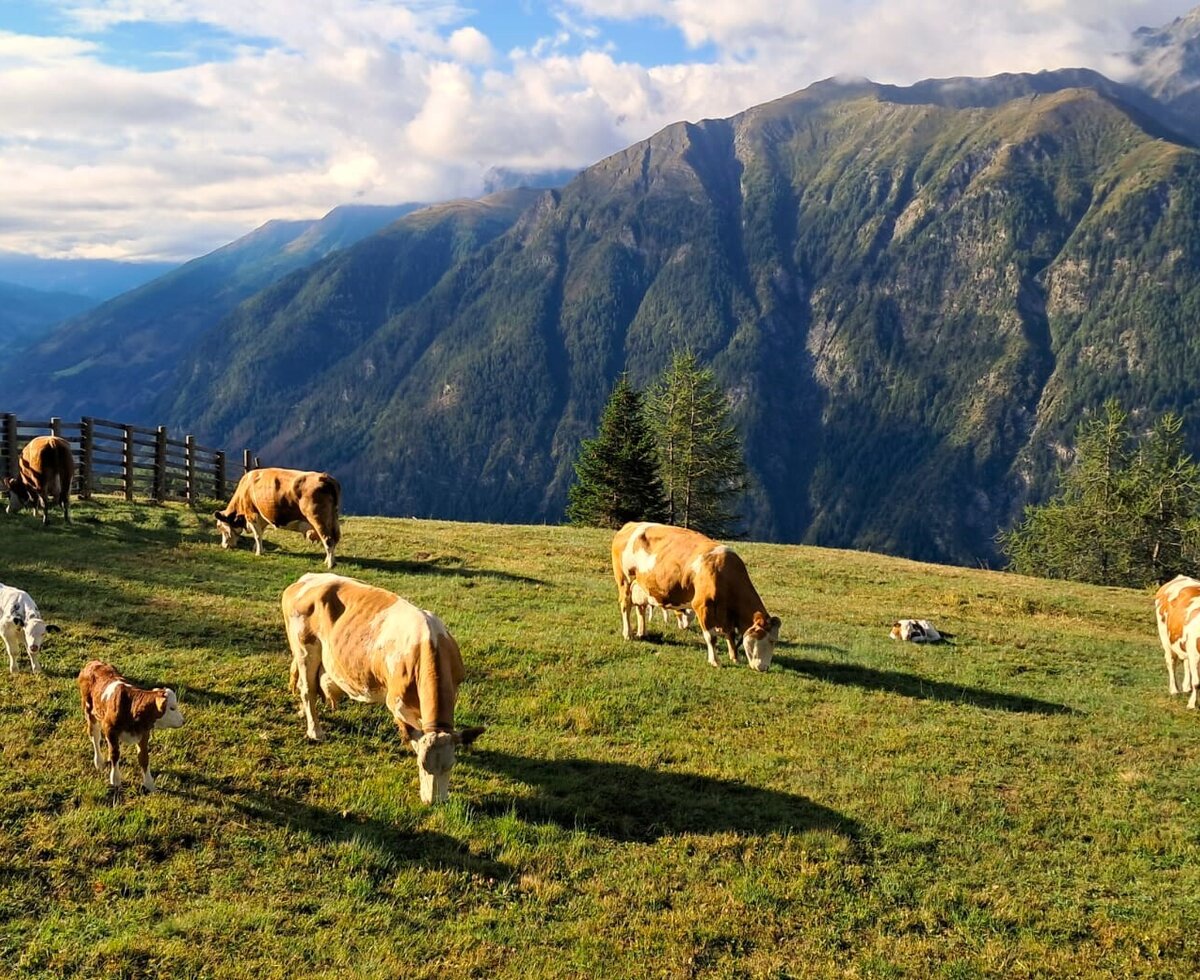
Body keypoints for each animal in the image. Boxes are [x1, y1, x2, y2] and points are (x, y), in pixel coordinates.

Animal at [77, 660, 185, 791]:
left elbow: (144, 758)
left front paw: (149, 784)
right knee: (95, 737)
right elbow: (115, 754)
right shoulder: (110, 730)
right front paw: (115, 779)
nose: (183, 721)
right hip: (89, 711)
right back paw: (99, 762)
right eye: (172, 708)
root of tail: (93, 662)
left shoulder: (144, 734)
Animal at [282, 572, 484, 803]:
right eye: (422, 766)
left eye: (450, 766)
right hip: (305, 650)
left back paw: (302, 713)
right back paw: (315, 730)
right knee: (308, 689)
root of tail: (307, 579)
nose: (434, 802)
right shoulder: (397, 703)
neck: (429, 644)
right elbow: (413, 733)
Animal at [612, 521, 781, 672]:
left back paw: (642, 632)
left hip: (641, 587)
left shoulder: (726, 615)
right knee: (625, 606)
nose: (764, 668)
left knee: (641, 608)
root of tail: (630, 525)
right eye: (771, 640)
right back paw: (628, 634)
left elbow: (730, 634)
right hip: (624, 580)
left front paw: (735, 657)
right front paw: (715, 661)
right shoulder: (702, 606)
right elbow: (711, 637)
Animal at [1154, 574, 1200, 709]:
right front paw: (1192, 704)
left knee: (1185, 662)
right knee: (1171, 662)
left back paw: (1186, 687)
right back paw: (1174, 690)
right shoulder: (1195, 654)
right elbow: (1197, 682)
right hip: (1165, 638)